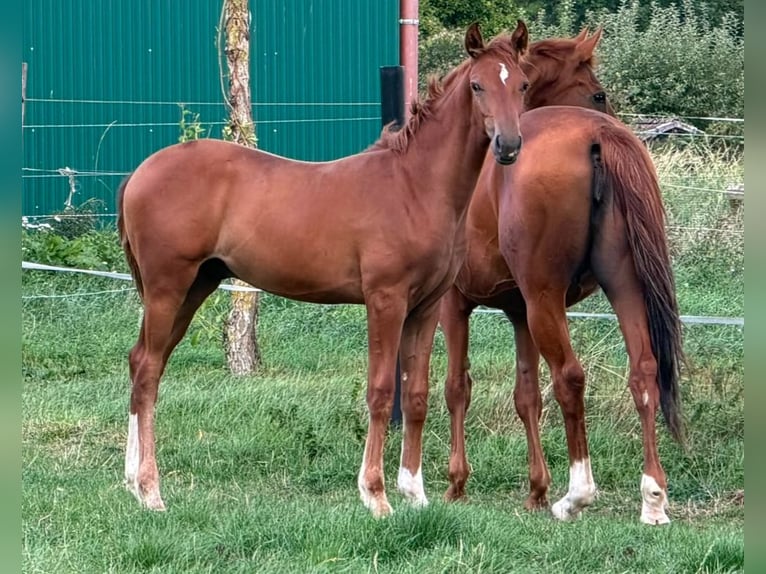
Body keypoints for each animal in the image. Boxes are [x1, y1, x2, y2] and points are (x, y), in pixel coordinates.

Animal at [116, 21, 530, 518]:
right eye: (476, 86)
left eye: (522, 85)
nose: (508, 146)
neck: (415, 187)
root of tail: (139, 173)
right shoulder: (385, 301)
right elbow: (380, 391)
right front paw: (376, 495)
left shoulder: (426, 307)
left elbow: (415, 394)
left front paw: (415, 493)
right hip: (168, 287)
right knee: (148, 371)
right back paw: (150, 490)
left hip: (196, 286)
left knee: (143, 361)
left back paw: (132, 482)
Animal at [439, 62, 684, 523]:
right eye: (600, 93)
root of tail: (598, 135)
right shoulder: (520, 314)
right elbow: (526, 396)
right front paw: (535, 489)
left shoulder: (455, 306)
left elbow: (457, 387)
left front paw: (456, 483)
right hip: (621, 287)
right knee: (643, 371)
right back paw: (652, 497)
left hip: (546, 302)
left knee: (570, 377)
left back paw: (576, 496)